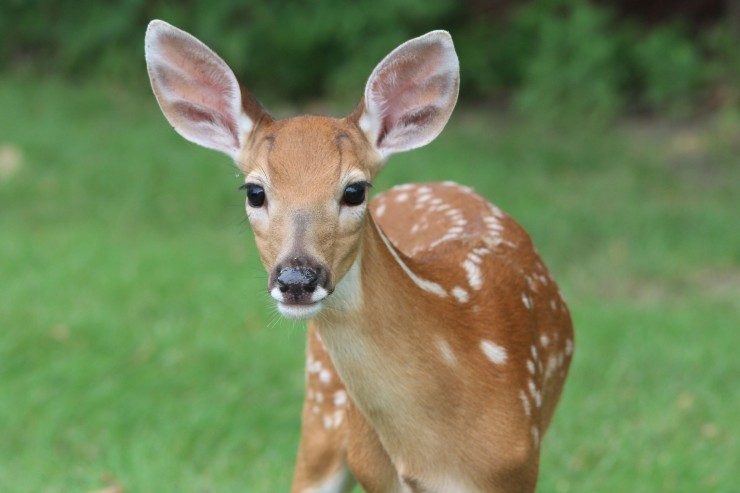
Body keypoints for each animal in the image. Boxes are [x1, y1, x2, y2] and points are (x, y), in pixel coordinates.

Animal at [143, 20, 572, 492]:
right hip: (322, 407)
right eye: (254, 191)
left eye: (354, 190)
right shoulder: (374, 471)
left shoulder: (517, 467)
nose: (297, 279)